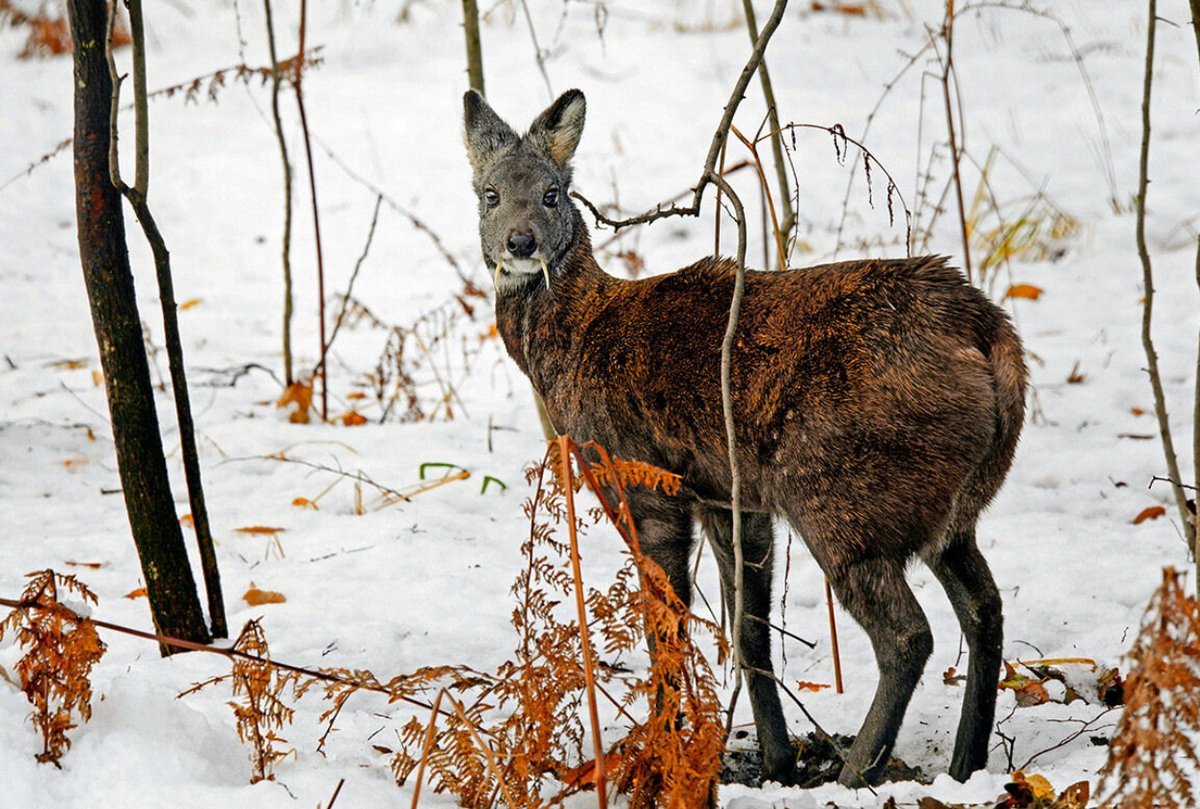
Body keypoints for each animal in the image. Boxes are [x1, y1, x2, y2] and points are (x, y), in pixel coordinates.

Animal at [463, 86, 1027, 782]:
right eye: (489, 193)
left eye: (551, 193)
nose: (521, 243)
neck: (574, 339)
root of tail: (988, 332)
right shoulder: (728, 494)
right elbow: (749, 628)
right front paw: (777, 761)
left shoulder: (642, 476)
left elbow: (666, 625)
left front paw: (659, 756)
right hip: (948, 506)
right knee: (983, 607)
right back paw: (965, 763)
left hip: (839, 493)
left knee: (907, 634)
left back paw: (856, 771)